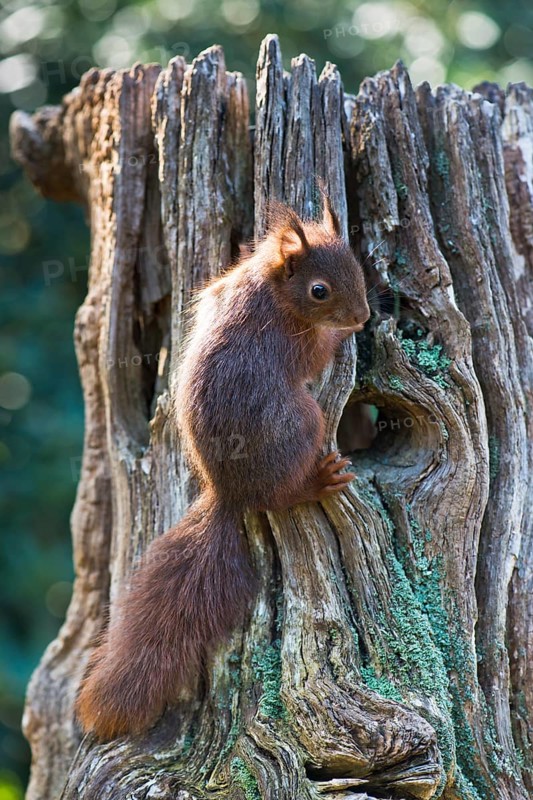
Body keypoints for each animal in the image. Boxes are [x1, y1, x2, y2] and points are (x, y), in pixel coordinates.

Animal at [75, 193, 370, 740]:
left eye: (358, 267)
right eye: (319, 291)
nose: (362, 317)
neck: (271, 289)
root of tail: (231, 494)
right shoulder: (291, 340)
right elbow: (316, 358)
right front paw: (340, 341)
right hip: (302, 421)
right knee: (284, 493)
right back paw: (317, 481)